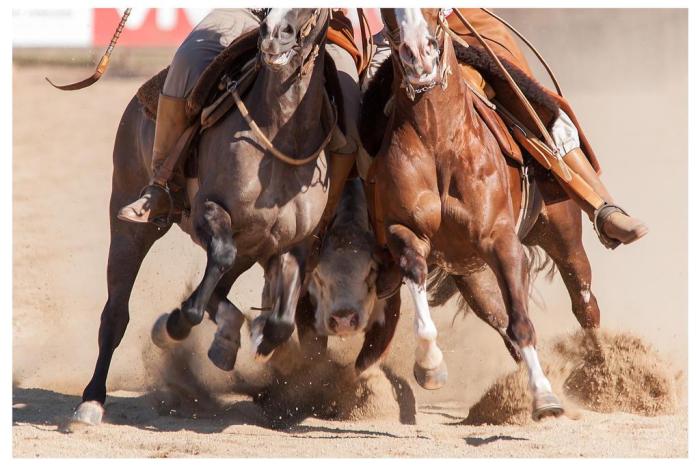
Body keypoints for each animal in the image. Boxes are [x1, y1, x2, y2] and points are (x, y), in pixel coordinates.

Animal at [75, 8, 338, 426]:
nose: (273, 36)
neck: (280, 136)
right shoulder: (208, 212)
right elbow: (212, 273)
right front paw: (176, 323)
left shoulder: (292, 242)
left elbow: (282, 321)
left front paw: (261, 342)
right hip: (131, 223)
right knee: (116, 313)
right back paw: (92, 400)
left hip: (252, 246)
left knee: (221, 288)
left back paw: (225, 339)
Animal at [366, 9, 600, 420]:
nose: (418, 54)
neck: (439, 140)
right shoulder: (404, 231)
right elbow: (417, 280)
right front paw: (430, 366)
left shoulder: (502, 241)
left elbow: (523, 323)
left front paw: (545, 399)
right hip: (472, 276)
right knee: (501, 321)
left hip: (563, 234)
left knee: (584, 302)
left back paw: (610, 379)